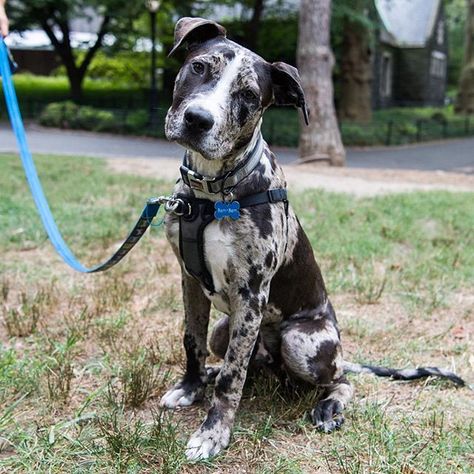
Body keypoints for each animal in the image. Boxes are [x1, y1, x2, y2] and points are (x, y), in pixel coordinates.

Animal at [158, 17, 462, 460]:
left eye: (249, 95)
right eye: (199, 67)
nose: (198, 120)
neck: (211, 193)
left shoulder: (252, 294)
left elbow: (233, 377)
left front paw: (213, 433)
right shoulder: (190, 281)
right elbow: (192, 340)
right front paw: (190, 387)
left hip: (302, 342)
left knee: (339, 380)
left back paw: (329, 407)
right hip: (227, 329)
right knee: (238, 359)